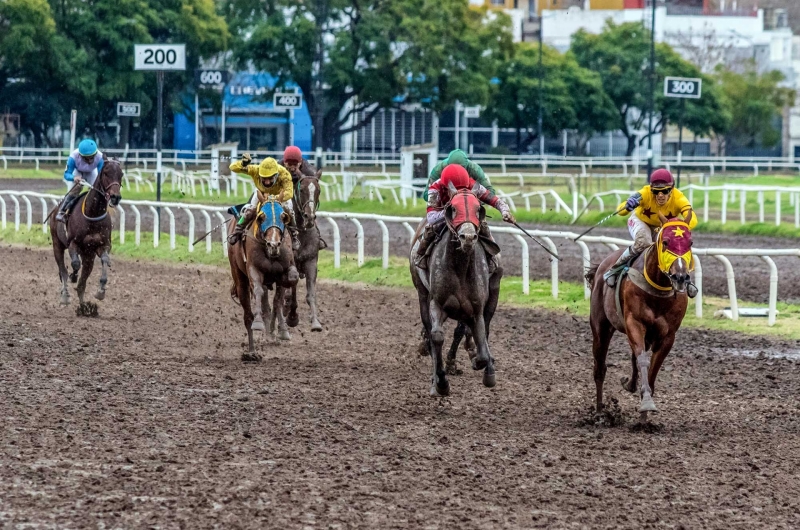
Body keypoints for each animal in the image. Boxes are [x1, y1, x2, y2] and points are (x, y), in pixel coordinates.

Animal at [50, 155, 122, 308]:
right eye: (106, 173)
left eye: (121, 174)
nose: (115, 197)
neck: (93, 213)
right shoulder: (73, 244)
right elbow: (75, 264)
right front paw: (73, 276)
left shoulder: (103, 245)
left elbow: (105, 260)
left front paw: (101, 290)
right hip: (57, 244)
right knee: (63, 270)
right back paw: (65, 295)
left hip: (88, 255)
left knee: (82, 283)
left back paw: (84, 307)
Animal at [228, 190, 300, 358]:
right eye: (261, 217)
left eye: (283, 217)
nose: (273, 245)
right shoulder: (254, 270)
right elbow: (258, 290)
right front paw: (259, 323)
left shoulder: (286, 267)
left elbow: (285, 288)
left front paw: (285, 327)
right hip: (238, 276)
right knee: (247, 314)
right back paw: (252, 352)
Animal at [410, 186, 504, 396]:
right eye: (452, 208)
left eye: (479, 209)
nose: (467, 237)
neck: (461, 267)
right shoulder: (437, 303)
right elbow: (436, 336)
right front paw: (441, 382)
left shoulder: (476, 309)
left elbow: (480, 343)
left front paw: (483, 364)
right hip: (421, 294)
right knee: (430, 331)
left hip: (493, 292)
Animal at [588, 217, 692, 418]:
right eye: (665, 242)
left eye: (690, 243)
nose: (681, 277)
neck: (658, 291)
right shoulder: (634, 323)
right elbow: (642, 359)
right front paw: (645, 403)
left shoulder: (668, 335)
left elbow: (652, 369)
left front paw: (645, 416)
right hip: (600, 327)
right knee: (600, 368)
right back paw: (599, 412)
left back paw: (629, 385)